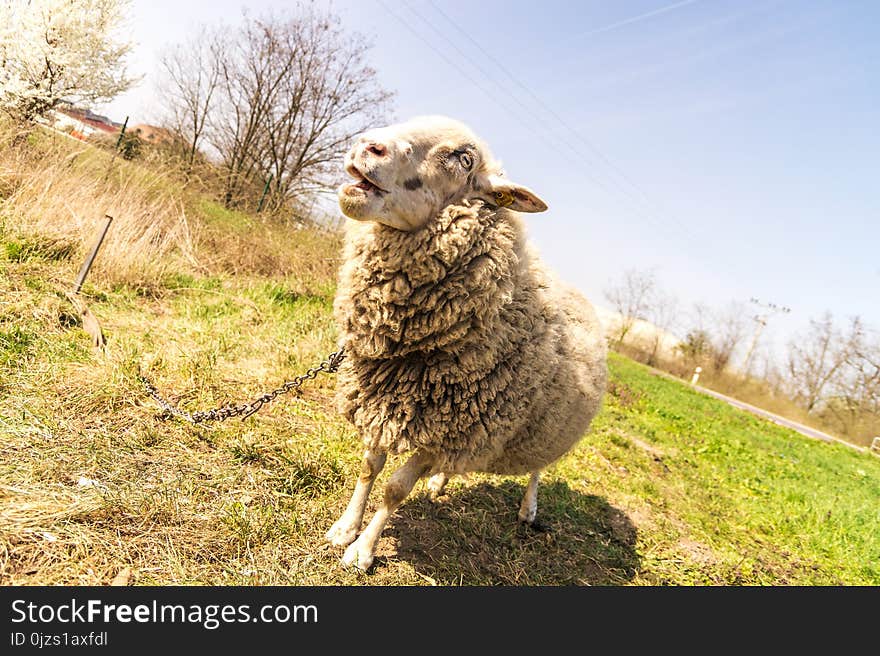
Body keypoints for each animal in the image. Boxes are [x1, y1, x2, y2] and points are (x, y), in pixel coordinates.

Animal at [324, 115, 604, 572]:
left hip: (545, 428)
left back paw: (528, 509)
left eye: (463, 158)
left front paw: (363, 550)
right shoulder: (384, 400)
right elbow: (369, 466)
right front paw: (345, 528)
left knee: (537, 469)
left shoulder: (449, 427)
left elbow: (396, 489)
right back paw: (439, 481)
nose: (368, 146)